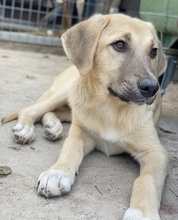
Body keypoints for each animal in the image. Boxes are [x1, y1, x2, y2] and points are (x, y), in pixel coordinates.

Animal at [1, 14, 168, 220]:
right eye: (120, 44)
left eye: (153, 52)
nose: (152, 88)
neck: (110, 108)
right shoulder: (81, 134)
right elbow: (70, 150)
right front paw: (56, 173)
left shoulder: (156, 153)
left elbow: (147, 179)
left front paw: (141, 213)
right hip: (65, 90)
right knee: (31, 109)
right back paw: (26, 129)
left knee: (54, 112)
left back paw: (53, 127)